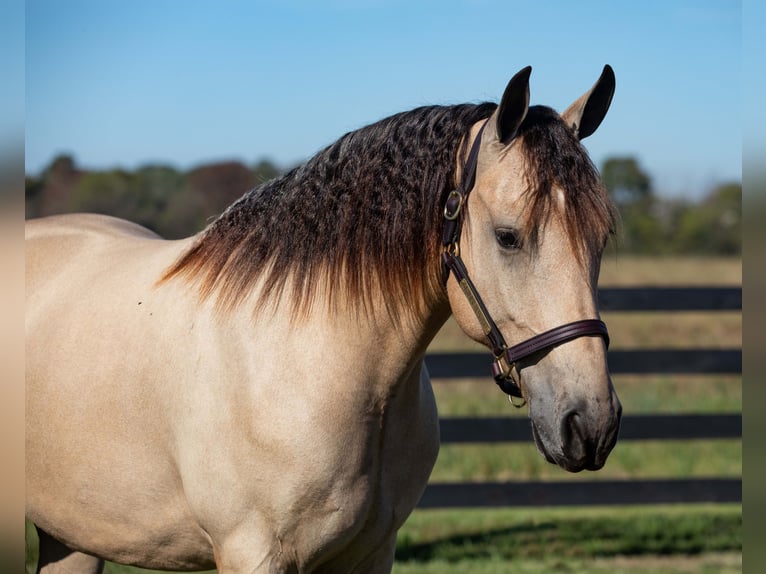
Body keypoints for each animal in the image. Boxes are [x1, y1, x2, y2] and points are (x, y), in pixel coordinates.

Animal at [25, 65, 622, 573]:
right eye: (507, 236)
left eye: (601, 238)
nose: (591, 424)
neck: (313, 360)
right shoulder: (252, 552)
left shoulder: (372, 553)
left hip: (72, 538)